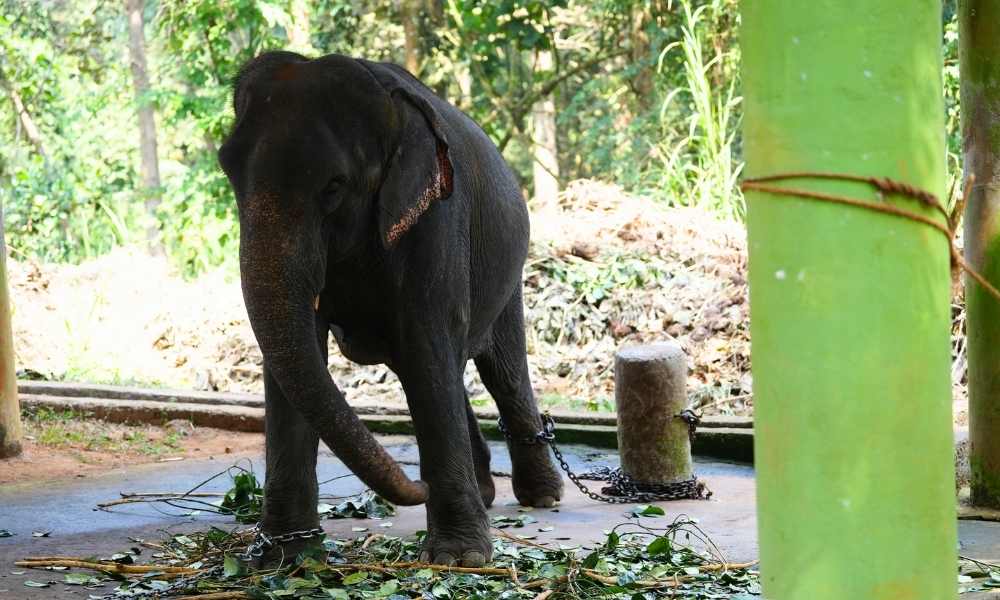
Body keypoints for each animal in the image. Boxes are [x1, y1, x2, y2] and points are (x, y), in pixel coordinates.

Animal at [217, 52, 564, 568]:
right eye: (228, 170)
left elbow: (427, 342)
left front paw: (459, 558)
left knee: (499, 371)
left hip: (508, 275)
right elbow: (298, 359)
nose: (418, 486)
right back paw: (485, 492)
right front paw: (283, 557)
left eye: (334, 185)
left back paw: (542, 496)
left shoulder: (437, 218)